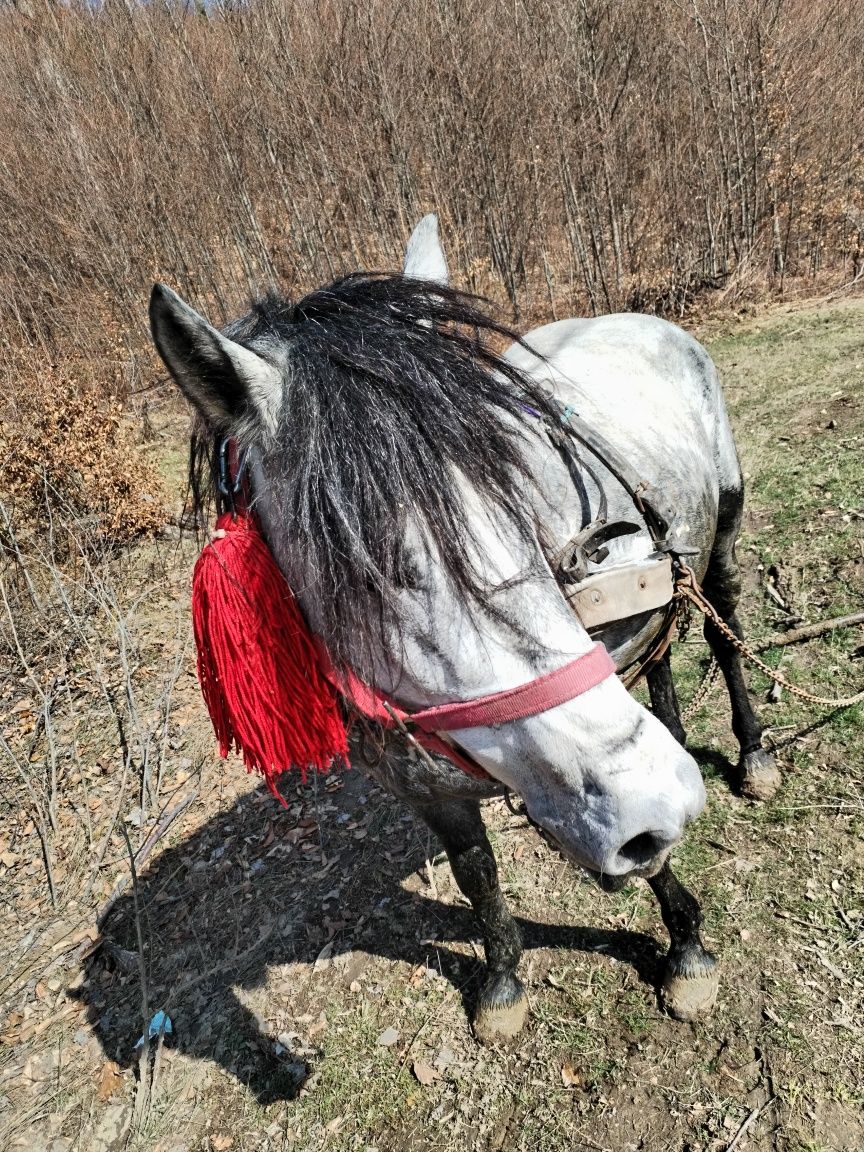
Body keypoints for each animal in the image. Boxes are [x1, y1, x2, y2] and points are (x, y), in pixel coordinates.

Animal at [148, 214, 778, 1046]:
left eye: (519, 500)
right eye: (369, 565)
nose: (660, 796)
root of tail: (644, 319)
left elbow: (651, 856)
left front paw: (686, 950)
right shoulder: (428, 789)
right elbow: (476, 873)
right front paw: (504, 982)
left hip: (726, 526)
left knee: (724, 625)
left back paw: (753, 754)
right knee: (663, 656)